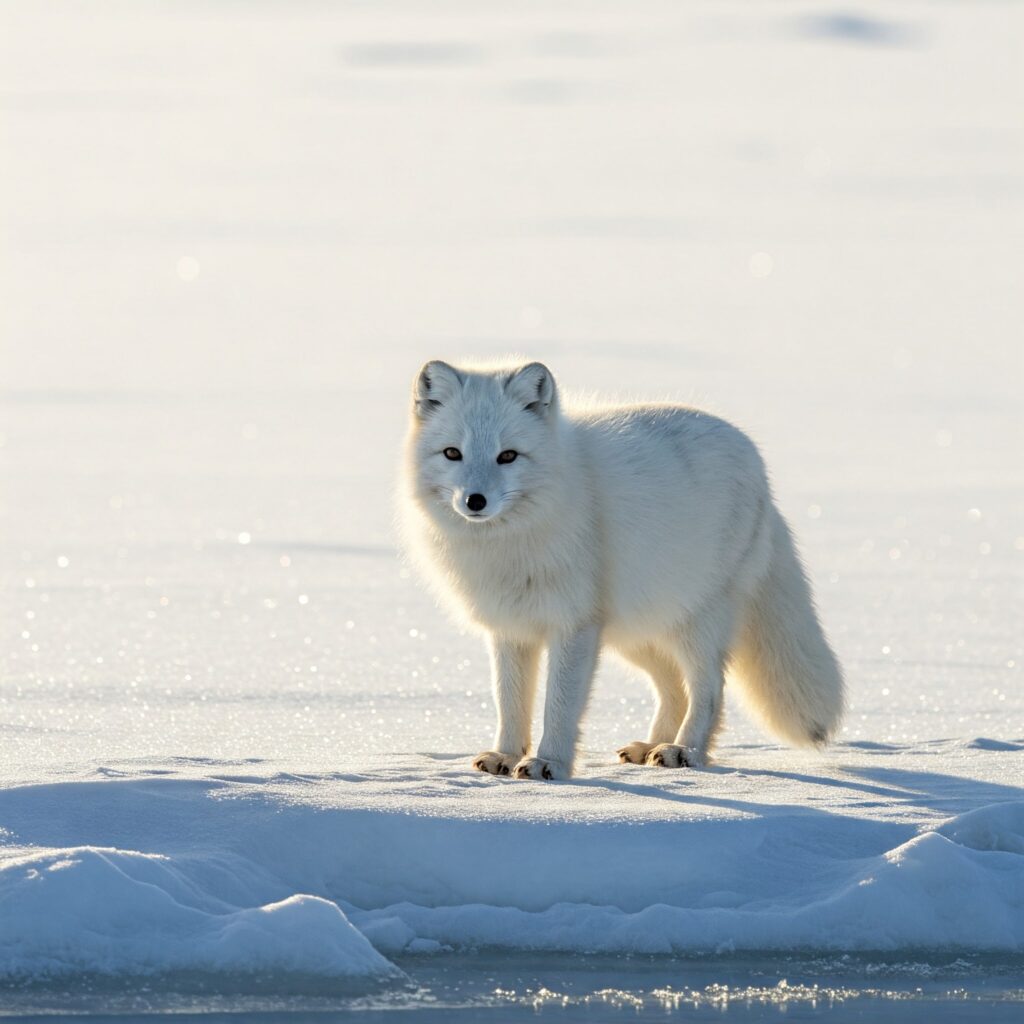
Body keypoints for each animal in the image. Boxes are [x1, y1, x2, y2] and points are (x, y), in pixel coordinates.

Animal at [399, 364, 839, 778]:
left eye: (508, 455)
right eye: (452, 453)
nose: (475, 501)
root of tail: (757, 464)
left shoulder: (574, 624)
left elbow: (559, 705)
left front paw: (549, 764)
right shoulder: (510, 628)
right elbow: (509, 700)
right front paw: (505, 756)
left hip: (697, 621)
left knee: (709, 689)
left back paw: (684, 750)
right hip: (638, 632)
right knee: (673, 687)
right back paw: (651, 746)